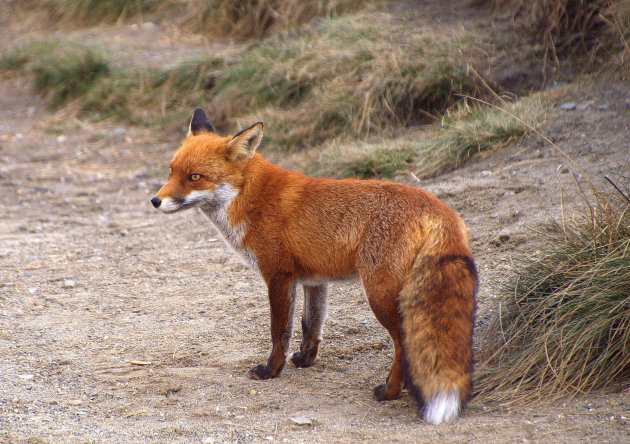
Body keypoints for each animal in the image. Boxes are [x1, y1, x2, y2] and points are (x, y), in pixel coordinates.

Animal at [152, 107, 478, 424]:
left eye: (195, 177)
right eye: (171, 171)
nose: (155, 201)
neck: (248, 196)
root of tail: (444, 212)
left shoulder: (279, 275)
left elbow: (280, 331)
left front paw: (271, 371)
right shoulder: (314, 279)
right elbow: (311, 324)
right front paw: (305, 360)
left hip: (380, 294)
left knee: (403, 341)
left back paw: (390, 391)